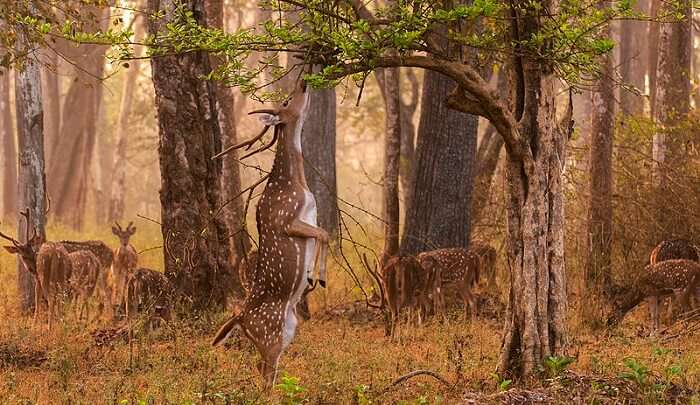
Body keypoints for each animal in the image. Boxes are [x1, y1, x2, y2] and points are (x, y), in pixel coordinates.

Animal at [211, 80, 328, 386]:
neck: (296, 183)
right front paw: (318, 277)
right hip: (270, 334)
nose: (304, 82)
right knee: (265, 371)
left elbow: (323, 233)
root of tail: (239, 319)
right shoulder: (286, 219)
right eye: (286, 102)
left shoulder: (309, 217)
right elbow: (324, 234)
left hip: (287, 330)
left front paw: (312, 276)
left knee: (261, 368)